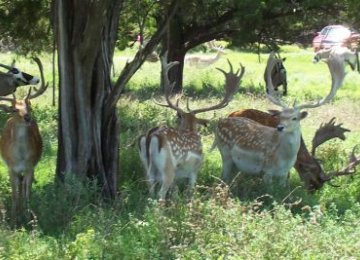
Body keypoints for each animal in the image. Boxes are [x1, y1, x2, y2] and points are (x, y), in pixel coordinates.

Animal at [0, 57, 47, 223]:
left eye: (29, 107)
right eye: (14, 110)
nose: (27, 117)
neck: (20, 158)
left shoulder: (30, 166)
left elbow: (27, 194)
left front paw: (28, 218)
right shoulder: (10, 167)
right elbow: (14, 195)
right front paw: (13, 220)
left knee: (25, 187)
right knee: (19, 187)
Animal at [138, 57, 245, 199]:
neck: (190, 130)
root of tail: (151, 135)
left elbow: (175, 191)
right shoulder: (195, 168)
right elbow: (190, 190)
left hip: (145, 164)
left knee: (149, 185)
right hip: (168, 166)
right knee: (161, 192)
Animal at [212, 51, 344, 188]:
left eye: (295, 118)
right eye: (280, 116)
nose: (280, 127)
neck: (285, 159)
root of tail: (220, 122)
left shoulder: (283, 174)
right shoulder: (267, 171)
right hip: (225, 153)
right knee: (223, 177)